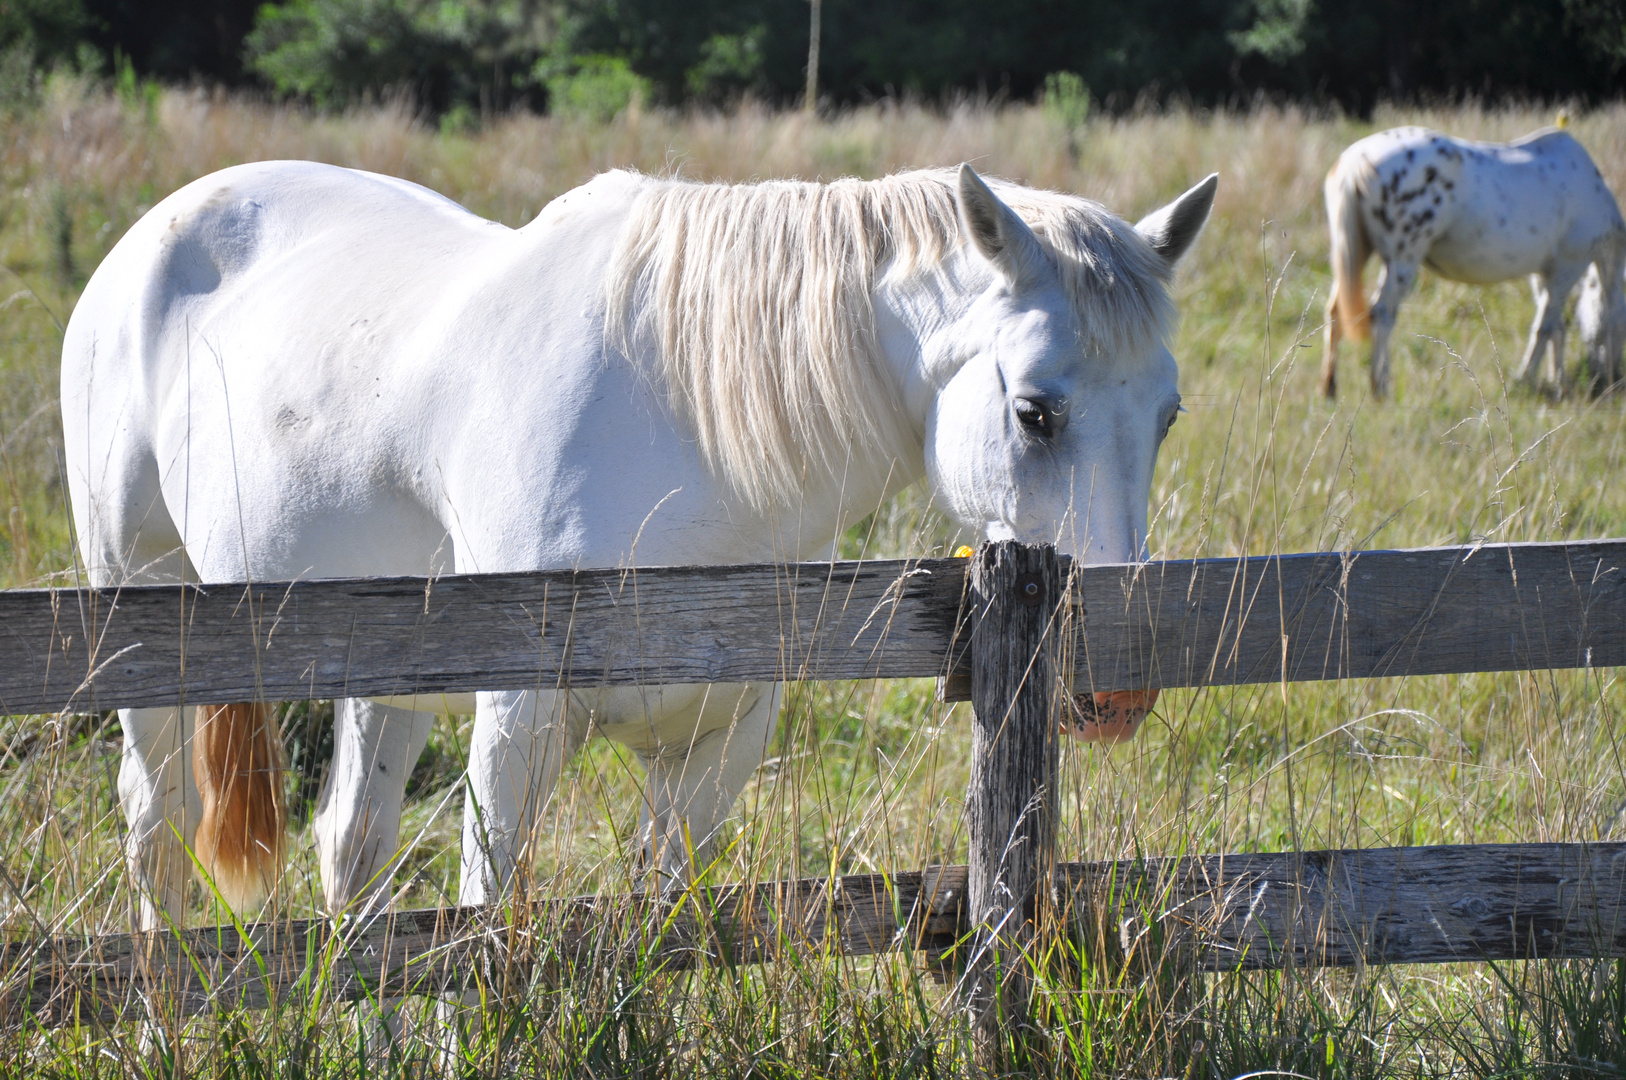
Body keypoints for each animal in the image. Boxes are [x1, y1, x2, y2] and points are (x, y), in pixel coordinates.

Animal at [57, 158, 1216, 930]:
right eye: (1034, 412)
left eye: (1168, 416)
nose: (1119, 687)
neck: (689, 434)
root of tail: (157, 229)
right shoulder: (519, 723)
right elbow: (482, 924)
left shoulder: (713, 748)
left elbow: (658, 932)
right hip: (142, 617)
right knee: (156, 831)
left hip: (387, 678)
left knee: (353, 851)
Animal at [1320, 126, 1626, 396]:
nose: (1608, 377)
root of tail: (1355, 162)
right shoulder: (1568, 268)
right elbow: (1546, 328)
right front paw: (1525, 380)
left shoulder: (1542, 274)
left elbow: (1556, 328)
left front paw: (1557, 382)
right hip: (1401, 261)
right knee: (1383, 314)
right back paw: (1380, 387)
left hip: (1357, 252)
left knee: (1335, 310)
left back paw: (1330, 387)